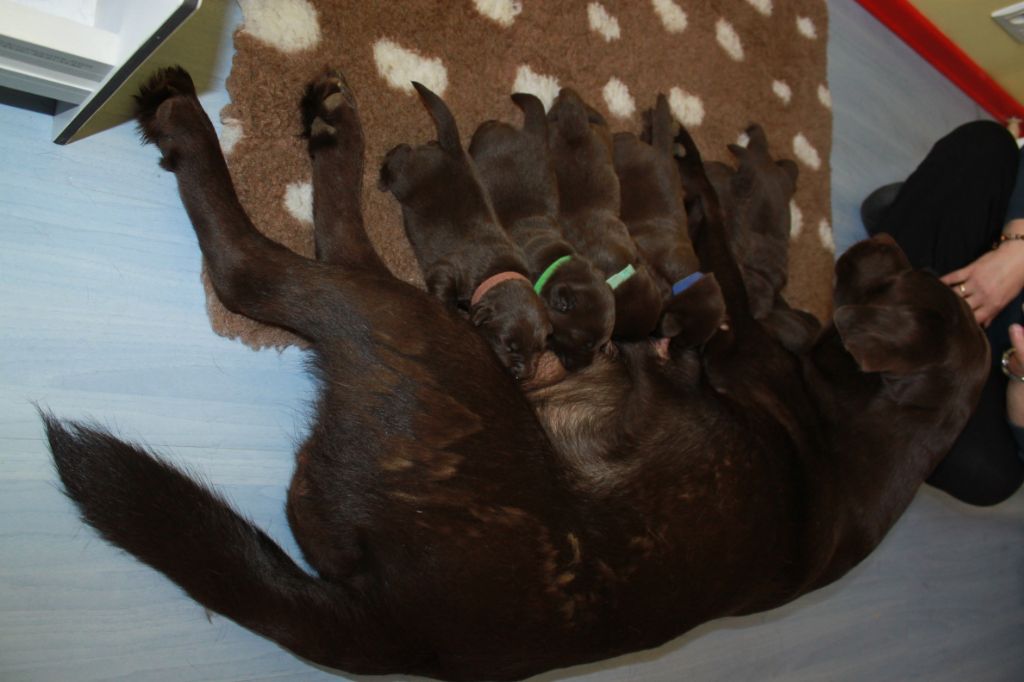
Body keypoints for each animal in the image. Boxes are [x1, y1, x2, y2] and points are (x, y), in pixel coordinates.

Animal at [380, 82, 552, 378]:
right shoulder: (445, 271)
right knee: (399, 153)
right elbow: (443, 293)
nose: (524, 373)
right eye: (509, 344)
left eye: (540, 349)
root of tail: (455, 150)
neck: (497, 271)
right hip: (407, 178)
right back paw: (383, 175)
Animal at [468, 92, 610, 368]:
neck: (553, 264)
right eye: (584, 343)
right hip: (485, 142)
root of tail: (528, 132)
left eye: (598, 345)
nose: (582, 367)